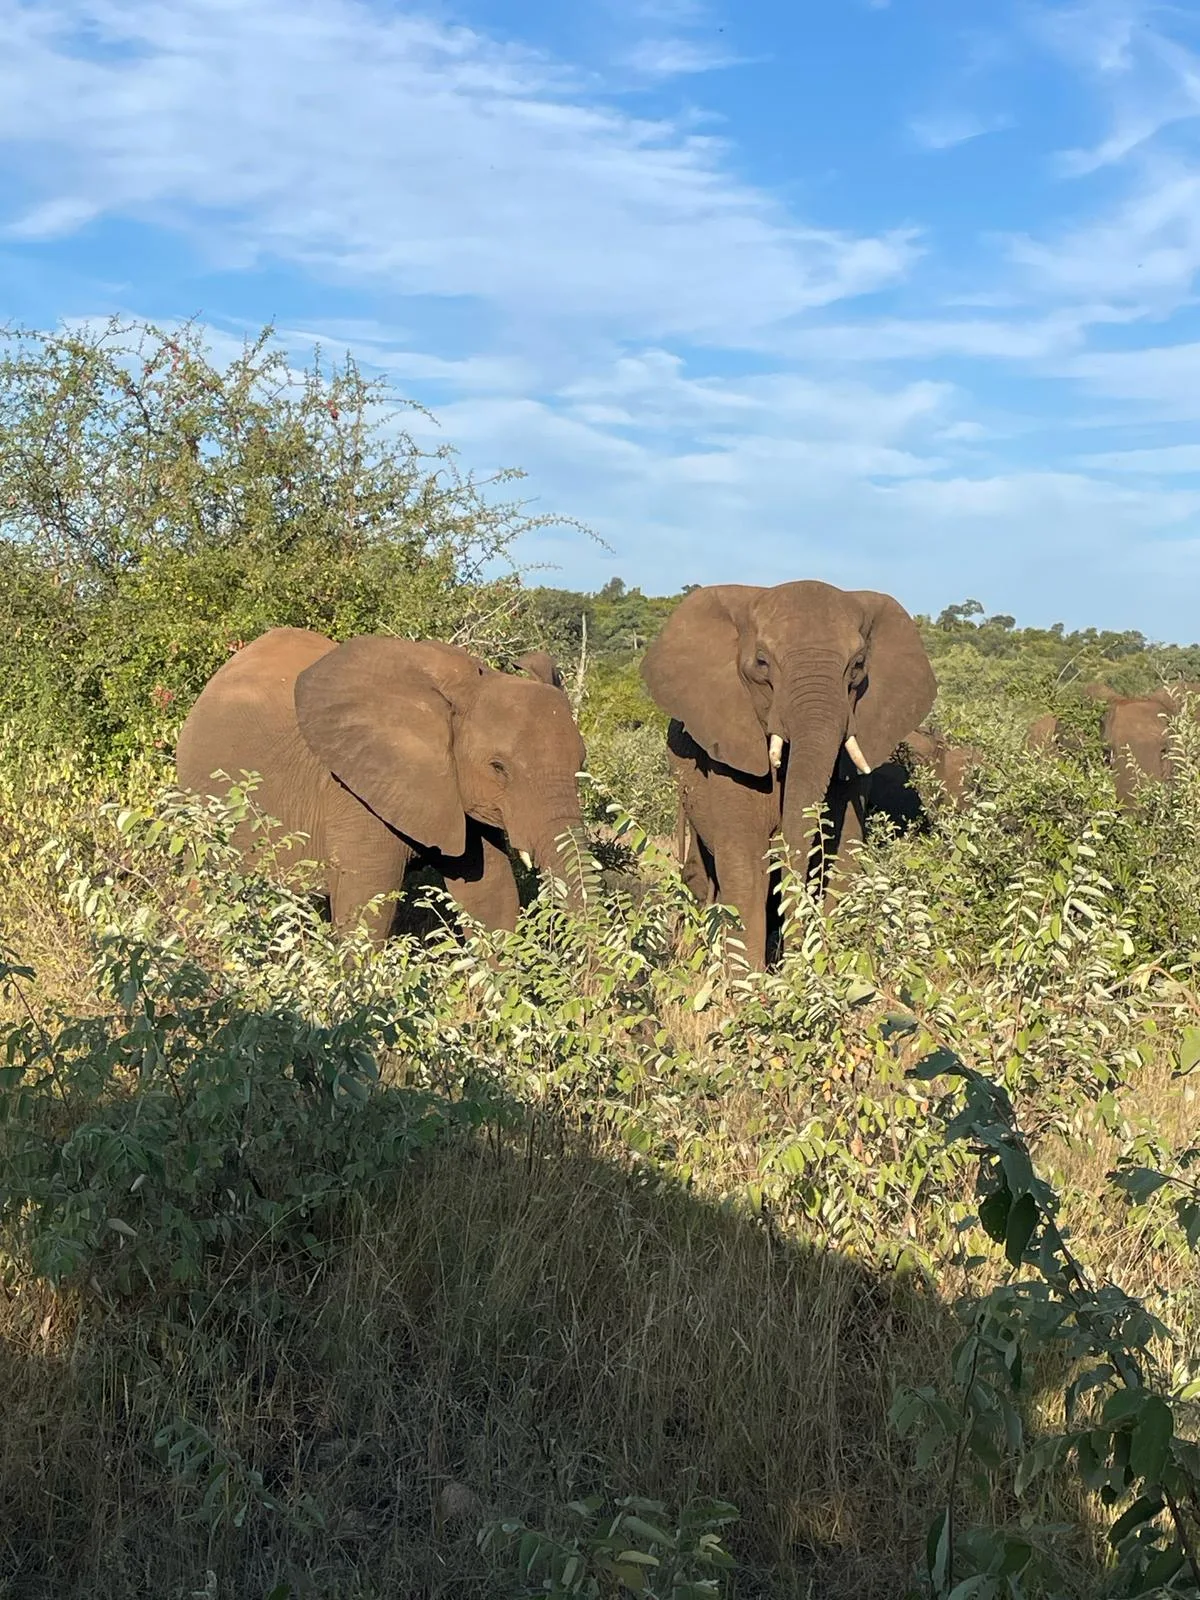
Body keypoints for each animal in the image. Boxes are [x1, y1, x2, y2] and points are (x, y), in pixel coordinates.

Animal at [641, 580, 936, 968]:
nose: (796, 959)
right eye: (762, 662)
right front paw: (750, 983)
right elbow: (746, 862)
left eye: (858, 665)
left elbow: (842, 857)